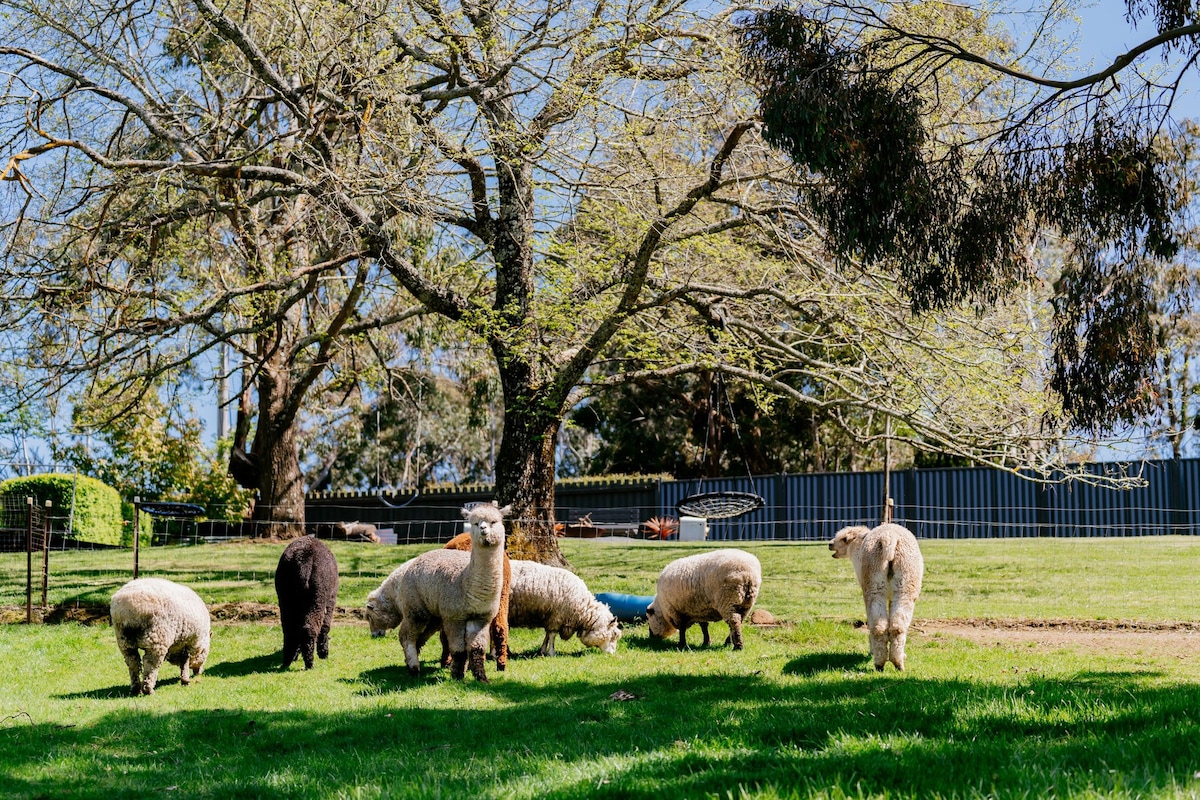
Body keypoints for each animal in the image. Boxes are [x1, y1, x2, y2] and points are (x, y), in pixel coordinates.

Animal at [274, 537, 340, 671]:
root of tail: (304, 562)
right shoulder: (331, 600)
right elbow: (325, 627)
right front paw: (323, 653)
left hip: (287, 598)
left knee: (289, 631)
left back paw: (287, 661)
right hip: (317, 598)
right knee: (308, 629)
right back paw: (309, 663)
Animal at [393, 503, 506, 681]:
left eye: (494, 521)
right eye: (474, 523)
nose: (483, 529)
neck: (466, 582)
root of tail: (418, 558)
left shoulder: (481, 618)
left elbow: (477, 649)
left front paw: (481, 678)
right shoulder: (455, 617)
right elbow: (459, 650)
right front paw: (457, 676)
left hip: (435, 615)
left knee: (419, 637)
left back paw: (410, 663)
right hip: (415, 606)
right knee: (406, 634)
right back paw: (413, 668)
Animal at [830, 522, 921, 671]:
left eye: (844, 539)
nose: (830, 544)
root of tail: (889, 538)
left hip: (878, 581)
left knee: (882, 625)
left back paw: (883, 662)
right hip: (901, 581)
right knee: (894, 626)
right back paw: (894, 662)